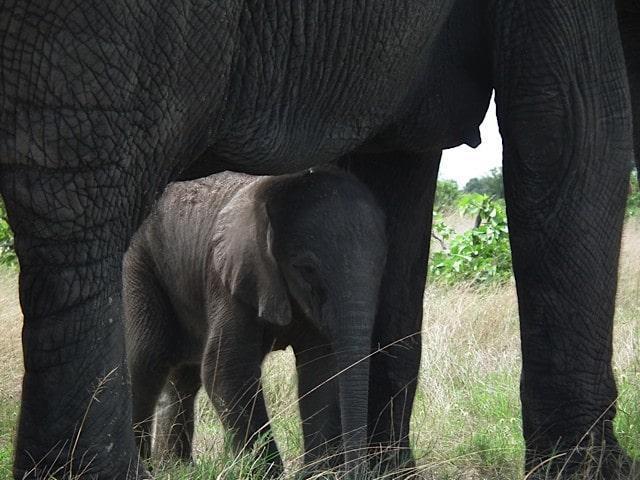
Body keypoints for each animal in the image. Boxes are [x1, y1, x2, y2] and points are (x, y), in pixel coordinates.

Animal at [123, 168, 387, 475]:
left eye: (382, 266)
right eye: (306, 270)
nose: (359, 471)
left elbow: (321, 370)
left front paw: (315, 475)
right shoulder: (229, 277)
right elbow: (228, 370)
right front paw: (271, 474)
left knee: (184, 376)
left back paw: (178, 468)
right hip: (139, 262)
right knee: (146, 359)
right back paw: (147, 467)